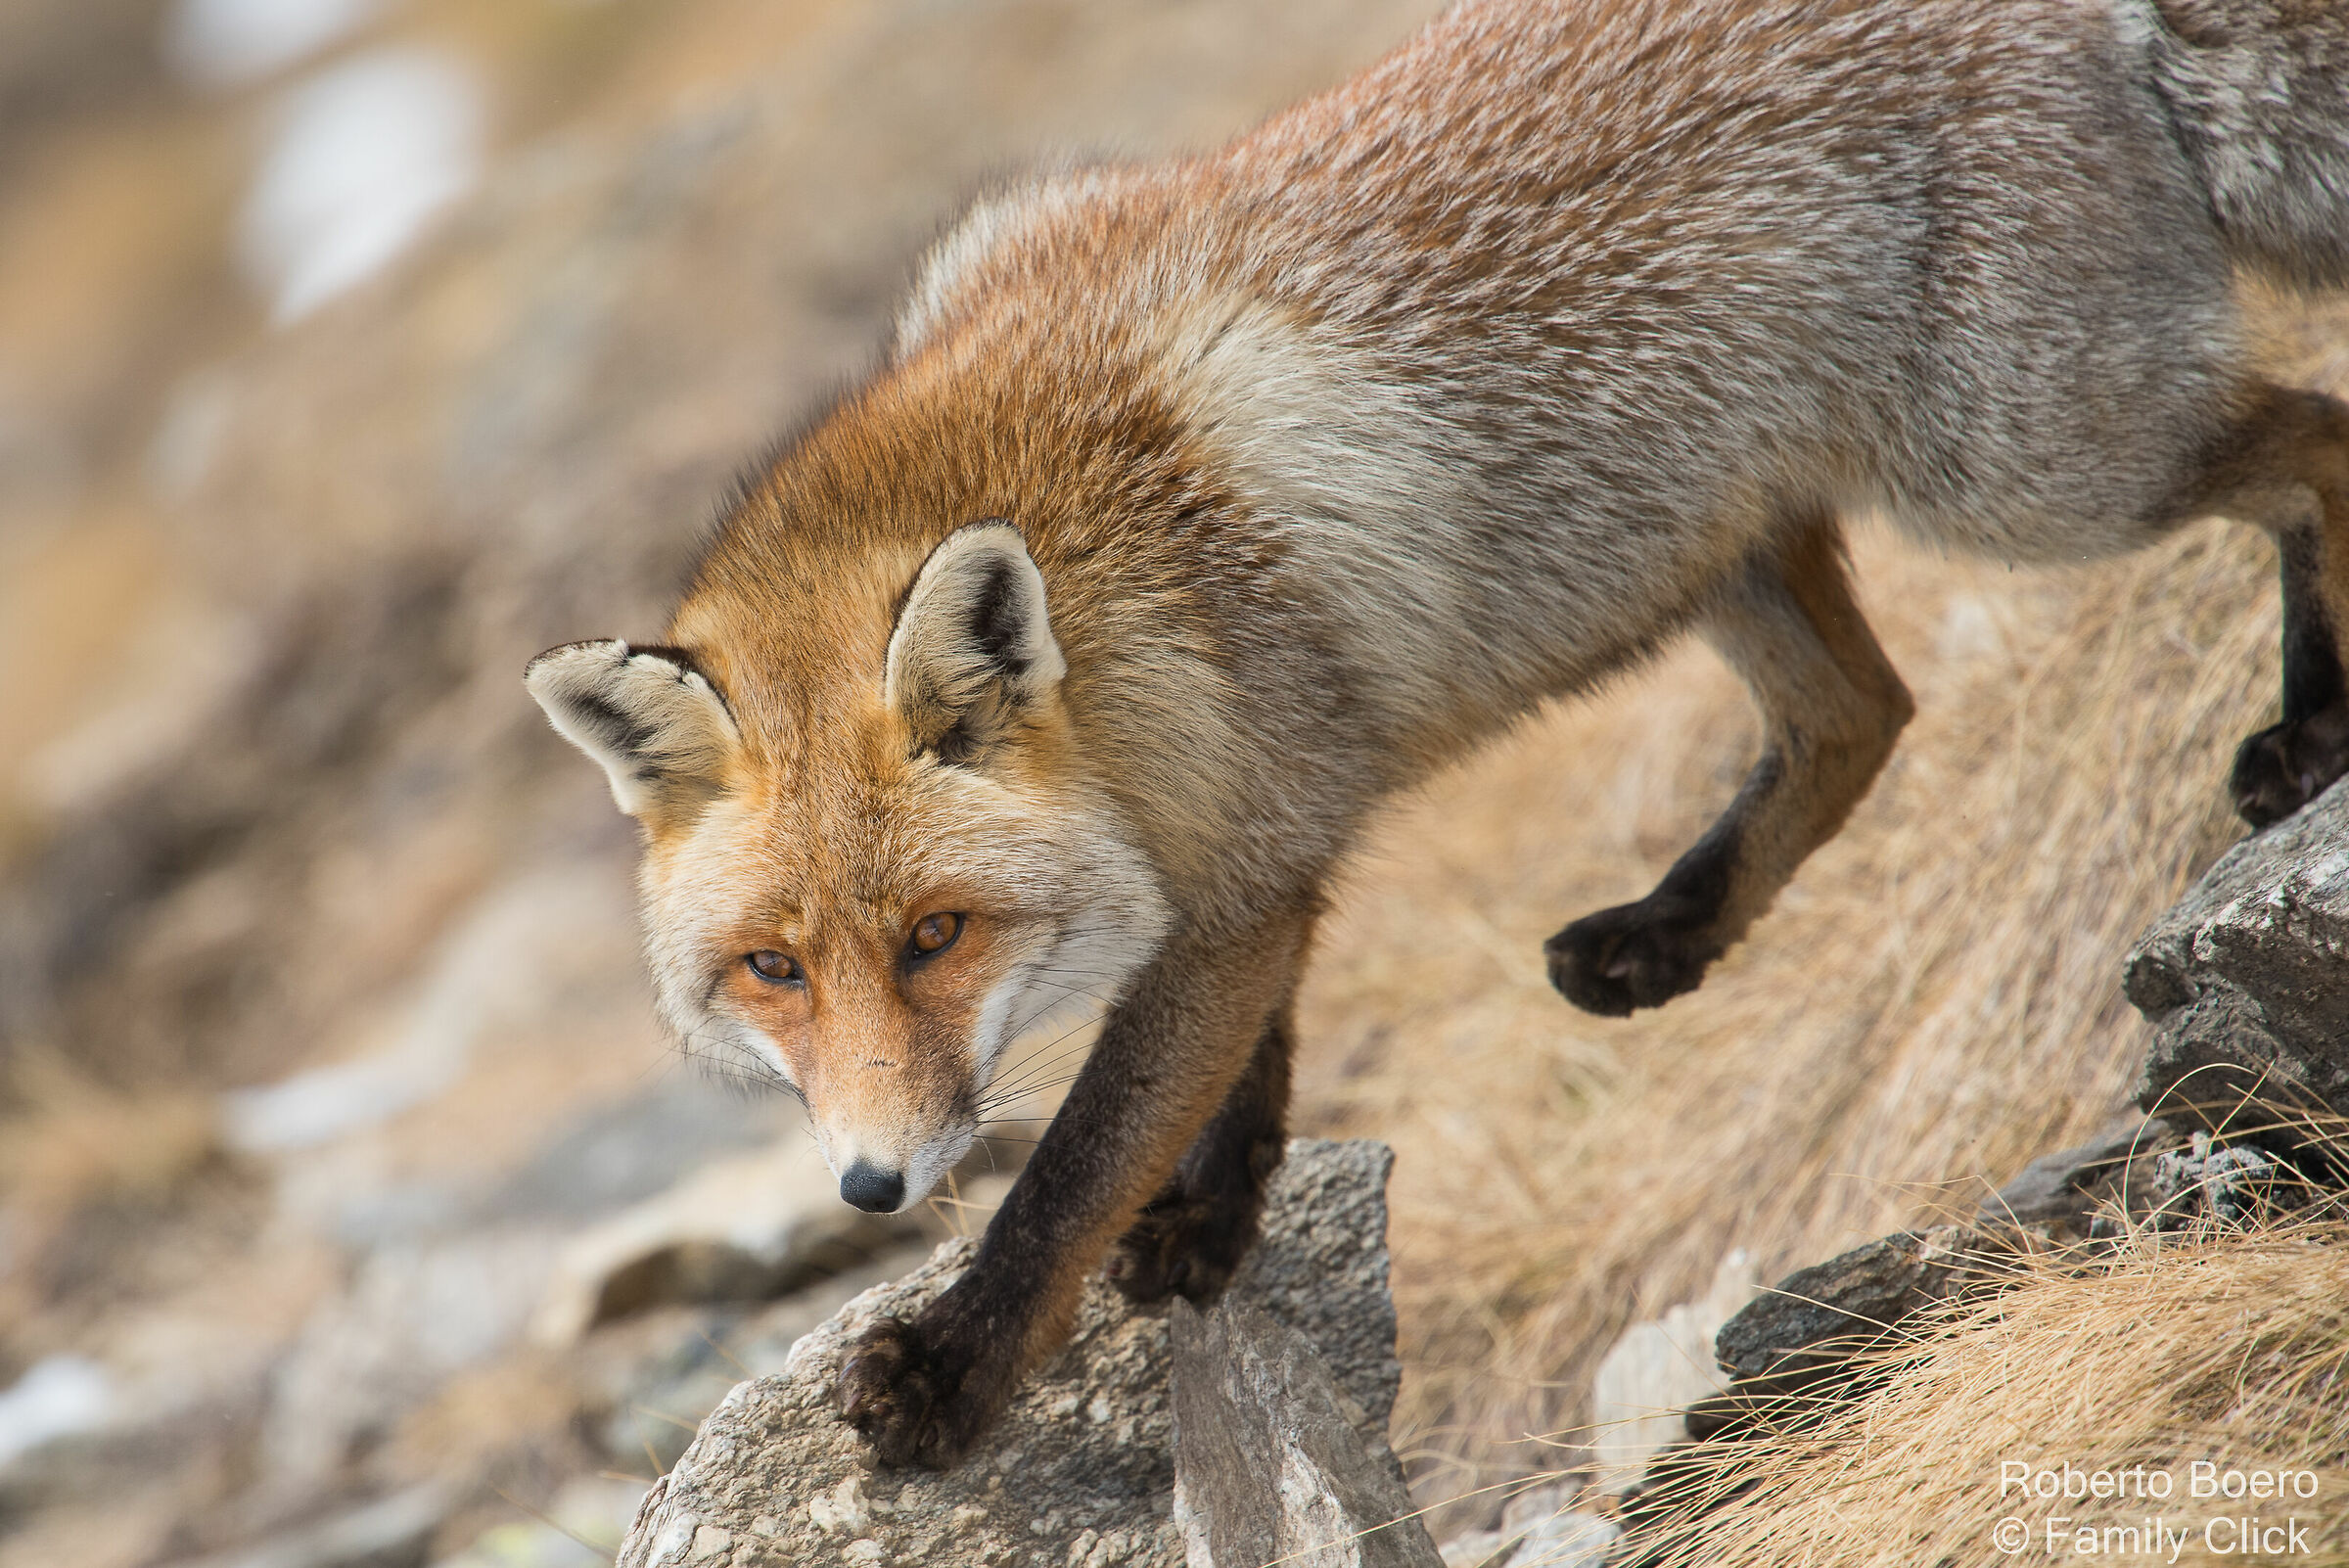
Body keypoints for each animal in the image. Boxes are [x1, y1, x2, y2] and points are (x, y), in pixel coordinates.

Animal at [526, 0, 2349, 1468]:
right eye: (772, 968)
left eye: (936, 935)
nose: (870, 1193)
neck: (1115, 617)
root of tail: (2091, 18)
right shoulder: (1244, 846)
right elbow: (1231, 1066)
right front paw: (1215, 1217)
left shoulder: (1242, 860)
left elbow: (1084, 1151)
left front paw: (961, 1363)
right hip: (1727, 545)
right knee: (1865, 714)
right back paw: (1666, 933)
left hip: (2031, 472)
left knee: (2318, 441)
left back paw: (2311, 722)